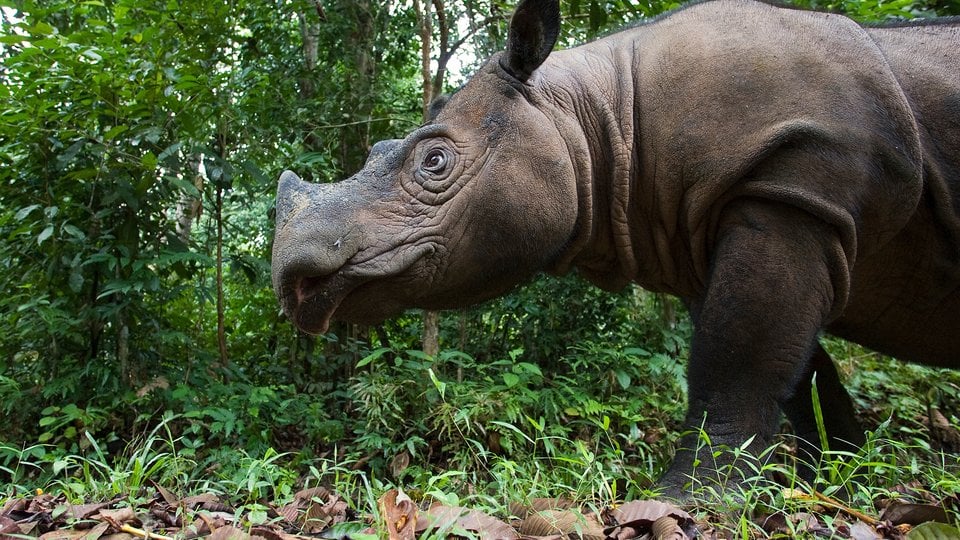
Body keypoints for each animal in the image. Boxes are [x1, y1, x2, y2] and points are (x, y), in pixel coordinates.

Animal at [272, 0, 960, 495]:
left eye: (434, 162)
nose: (289, 274)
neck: (594, 113)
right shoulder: (728, 224)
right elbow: (801, 376)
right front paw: (836, 484)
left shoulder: (790, 185)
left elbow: (737, 361)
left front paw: (687, 501)